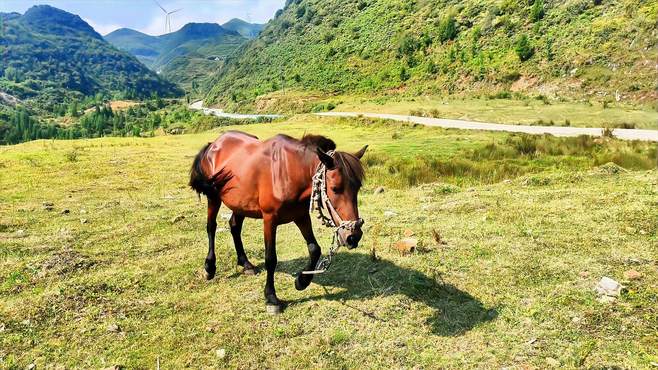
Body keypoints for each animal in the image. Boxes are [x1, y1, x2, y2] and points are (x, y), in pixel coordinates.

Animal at [187, 132, 366, 314]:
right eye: (335, 188)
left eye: (358, 187)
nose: (353, 237)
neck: (288, 172)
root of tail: (213, 144)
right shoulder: (269, 220)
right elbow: (271, 258)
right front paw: (271, 297)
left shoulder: (300, 216)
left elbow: (314, 249)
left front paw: (301, 281)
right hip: (213, 198)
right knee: (211, 227)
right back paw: (210, 267)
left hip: (240, 204)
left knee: (235, 227)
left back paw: (246, 264)